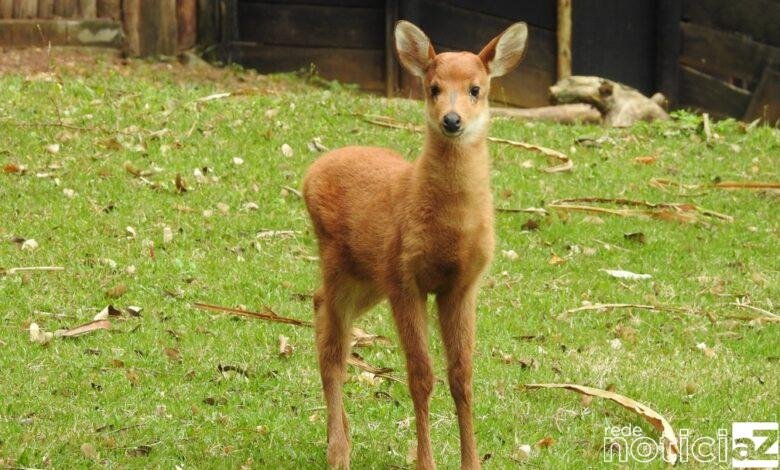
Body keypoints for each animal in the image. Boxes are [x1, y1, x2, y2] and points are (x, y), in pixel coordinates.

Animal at [302, 20, 529, 469]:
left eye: (476, 89)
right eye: (433, 87)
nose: (452, 120)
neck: (449, 233)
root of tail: (310, 174)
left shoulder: (462, 286)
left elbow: (462, 377)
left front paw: (471, 462)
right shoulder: (405, 278)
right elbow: (421, 376)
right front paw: (426, 461)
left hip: (367, 278)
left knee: (320, 308)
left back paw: (341, 437)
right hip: (344, 263)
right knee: (333, 348)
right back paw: (338, 451)